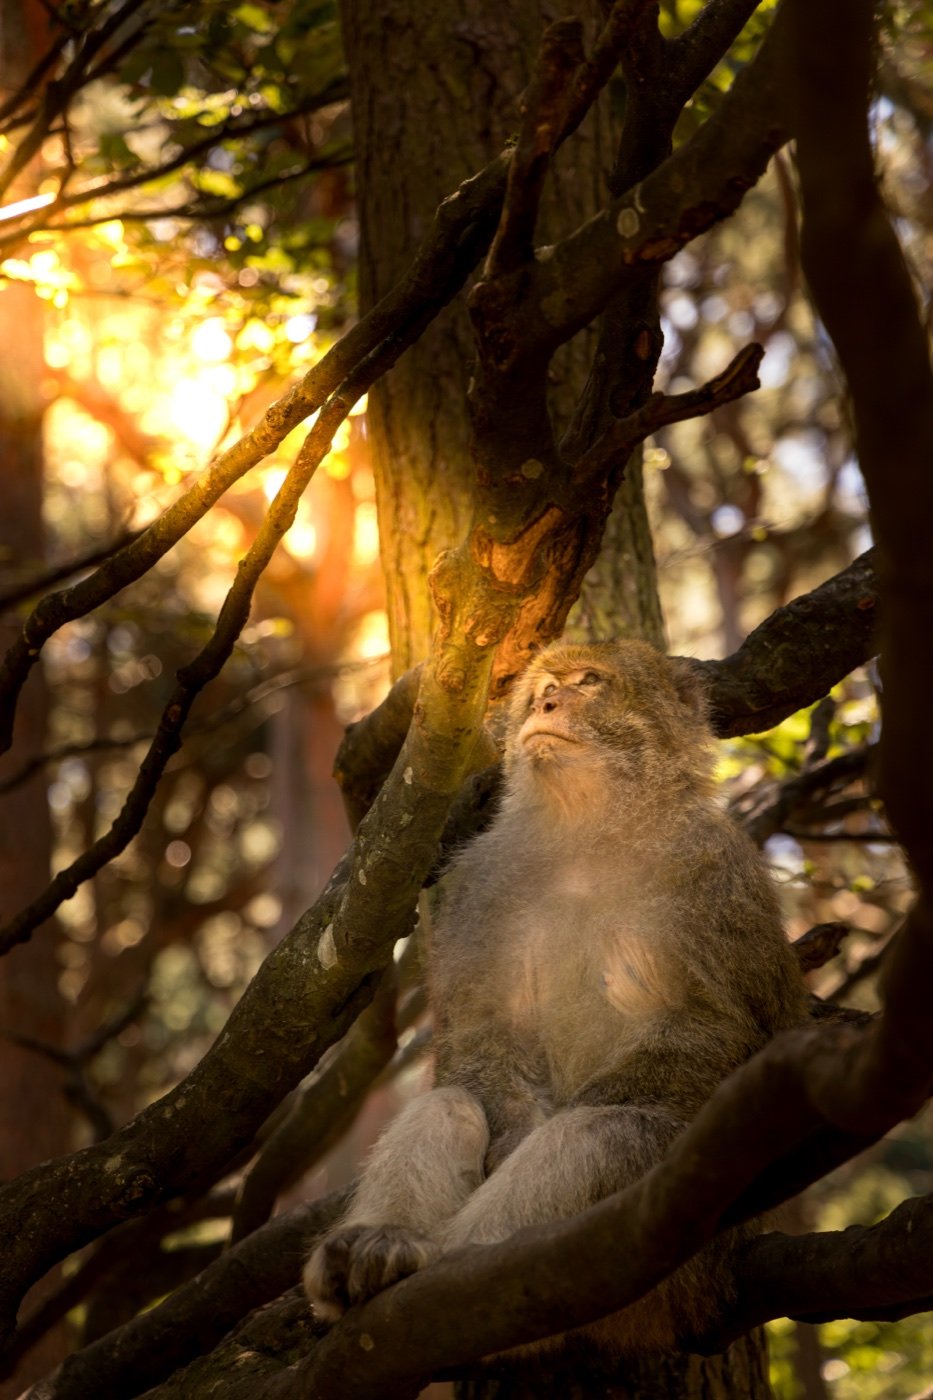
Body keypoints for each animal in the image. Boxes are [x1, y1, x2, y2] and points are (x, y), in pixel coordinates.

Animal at [303, 638, 807, 1352]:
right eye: (544, 686)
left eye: (588, 681)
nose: (546, 704)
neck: (586, 834)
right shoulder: (480, 884)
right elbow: (482, 1038)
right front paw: (505, 1129)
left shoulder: (714, 872)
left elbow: (719, 1033)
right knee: (451, 1104)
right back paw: (379, 1249)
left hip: (683, 1269)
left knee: (606, 1135)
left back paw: (456, 1269)